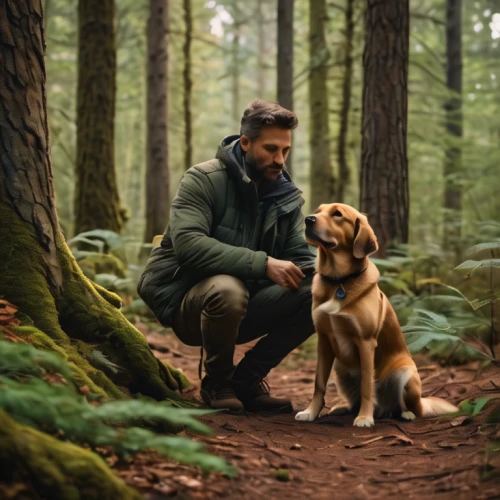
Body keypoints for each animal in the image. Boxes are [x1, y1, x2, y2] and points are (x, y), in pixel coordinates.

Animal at [294, 201, 458, 428]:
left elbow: (366, 385)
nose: (308, 219)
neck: (339, 281)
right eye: (318, 211)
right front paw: (310, 412)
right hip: (340, 369)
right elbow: (319, 383)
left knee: (411, 407)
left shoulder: (365, 342)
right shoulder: (324, 340)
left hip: (406, 373)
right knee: (355, 399)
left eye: (337, 214)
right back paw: (344, 408)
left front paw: (364, 417)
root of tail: (384, 409)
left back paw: (403, 414)